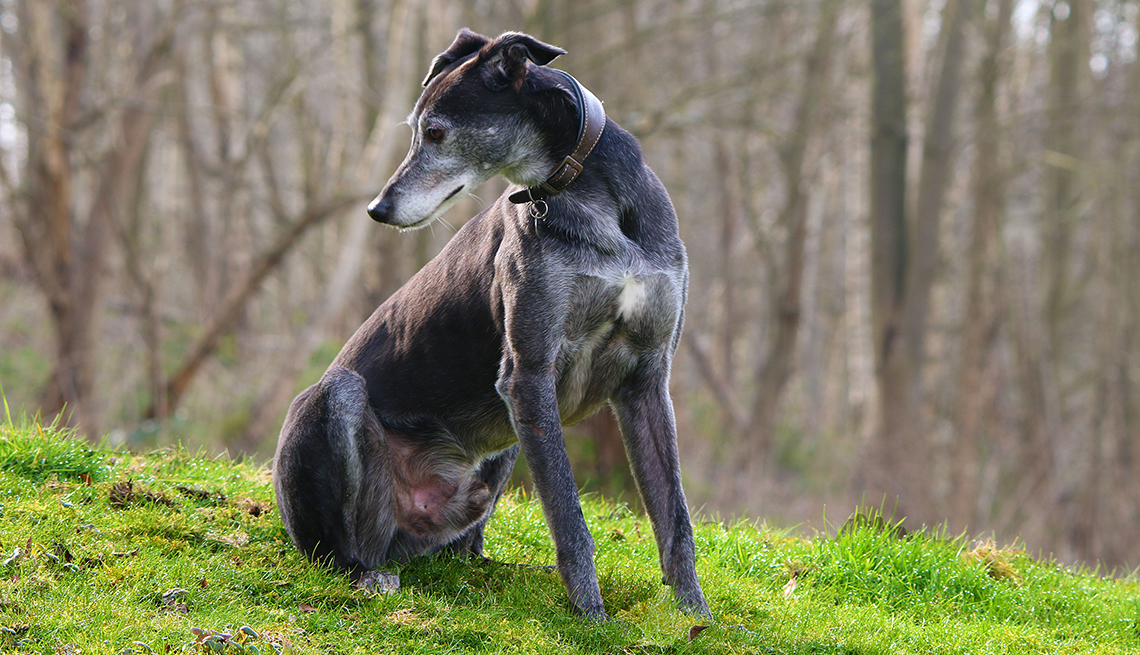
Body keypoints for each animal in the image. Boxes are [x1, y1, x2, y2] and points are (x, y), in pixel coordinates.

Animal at [272, 26, 706, 619]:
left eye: (435, 132)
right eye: (416, 130)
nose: (376, 210)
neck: (590, 197)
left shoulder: (646, 379)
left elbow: (674, 517)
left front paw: (696, 615)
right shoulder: (529, 375)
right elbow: (569, 516)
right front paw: (592, 618)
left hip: (499, 453)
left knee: (459, 543)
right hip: (336, 404)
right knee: (338, 548)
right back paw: (366, 573)